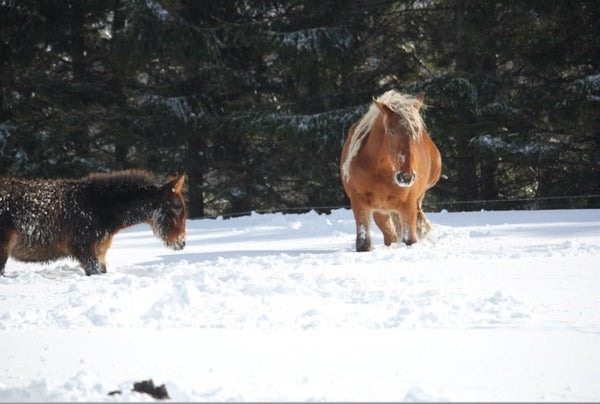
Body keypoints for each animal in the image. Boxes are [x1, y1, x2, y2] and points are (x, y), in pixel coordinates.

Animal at [342, 90, 440, 251]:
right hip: (381, 211)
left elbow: (410, 240)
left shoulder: (408, 205)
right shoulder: (359, 203)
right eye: (392, 130)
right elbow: (363, 244)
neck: (382, 172)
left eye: (416, 131)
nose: (406, 177)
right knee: (390, 236)